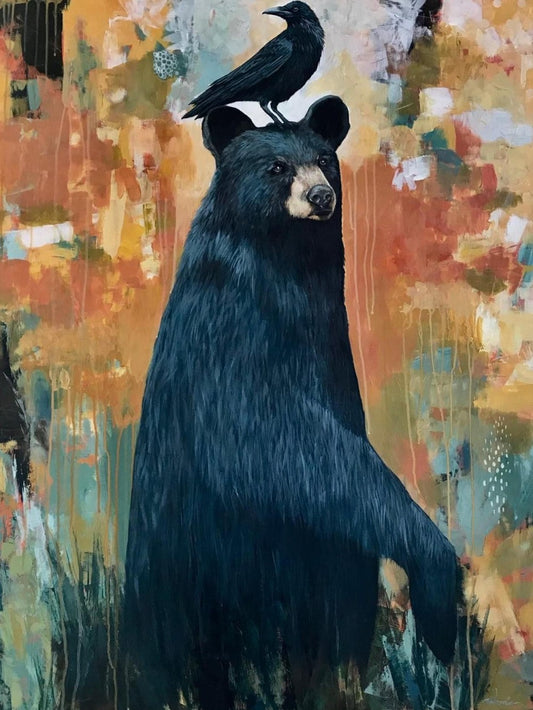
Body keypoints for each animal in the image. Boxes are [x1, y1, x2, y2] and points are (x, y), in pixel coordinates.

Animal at [123, 96, 459, 710]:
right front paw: (438, 587)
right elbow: (268, 441)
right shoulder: (230, 335)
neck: (290, 265)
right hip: (196, 587)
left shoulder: (331, 348)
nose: (322, 196)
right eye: (275, 167)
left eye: (325, 159)